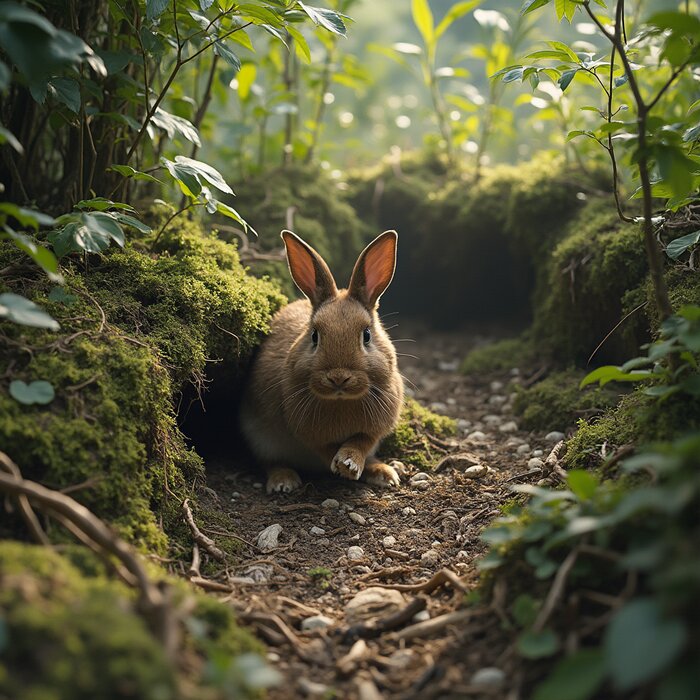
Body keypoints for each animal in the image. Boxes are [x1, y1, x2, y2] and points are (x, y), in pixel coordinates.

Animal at [241, 228, 404, 492]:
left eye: (367, 335)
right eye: (314, 336)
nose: (338, 377)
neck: (341, 400)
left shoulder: (375, 428)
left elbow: (361, 442)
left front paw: (350, 463)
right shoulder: (307, 432)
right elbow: (325, 449)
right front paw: (342, 465)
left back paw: (385, 473)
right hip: (261, 438)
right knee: (270, 461)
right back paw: (283, 481)